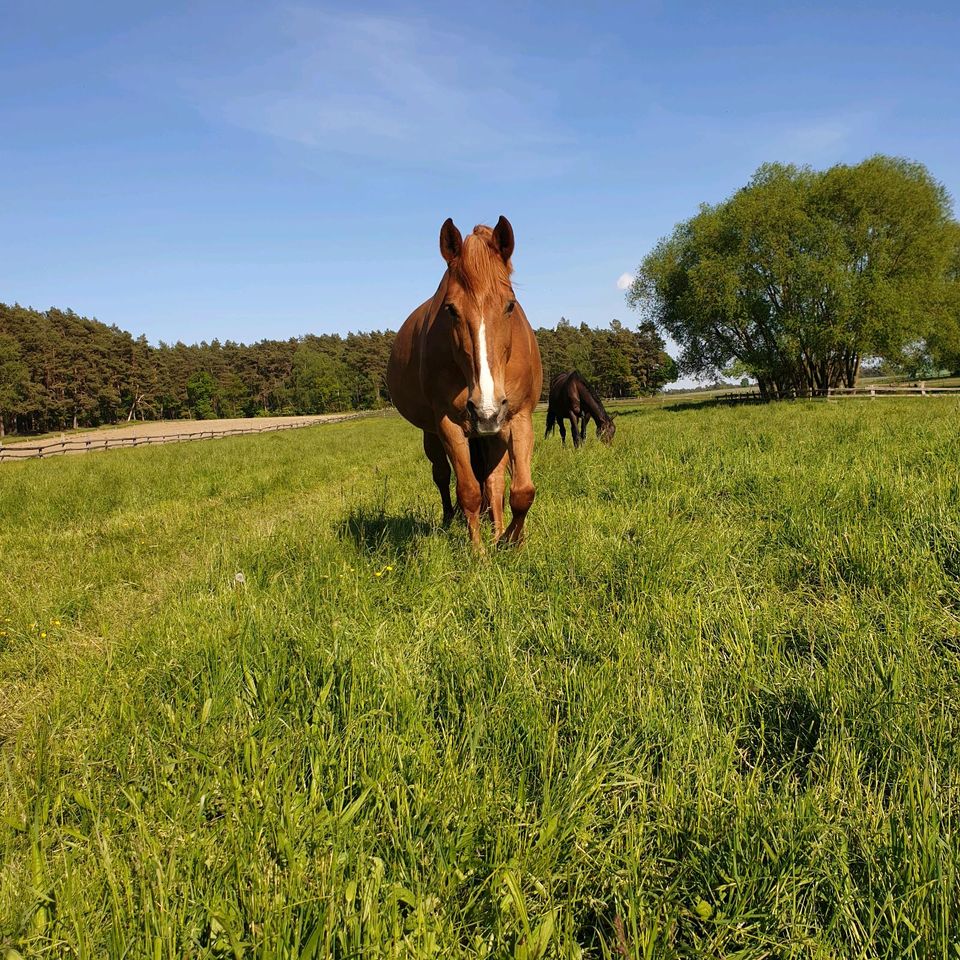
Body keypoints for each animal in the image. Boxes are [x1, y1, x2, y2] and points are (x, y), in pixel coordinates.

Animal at [386, 218, 544, 548]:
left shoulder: (518, 418)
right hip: (435, 432)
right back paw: (450, 520)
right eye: (450, 309)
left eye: (510, 305)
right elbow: (468, 491)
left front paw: (510, 540)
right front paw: (480, 552)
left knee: (493, 482)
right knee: (442, 475)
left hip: (494, 431)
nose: (485, 410)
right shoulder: (448, 423)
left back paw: (497, 530)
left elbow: (521, 492)